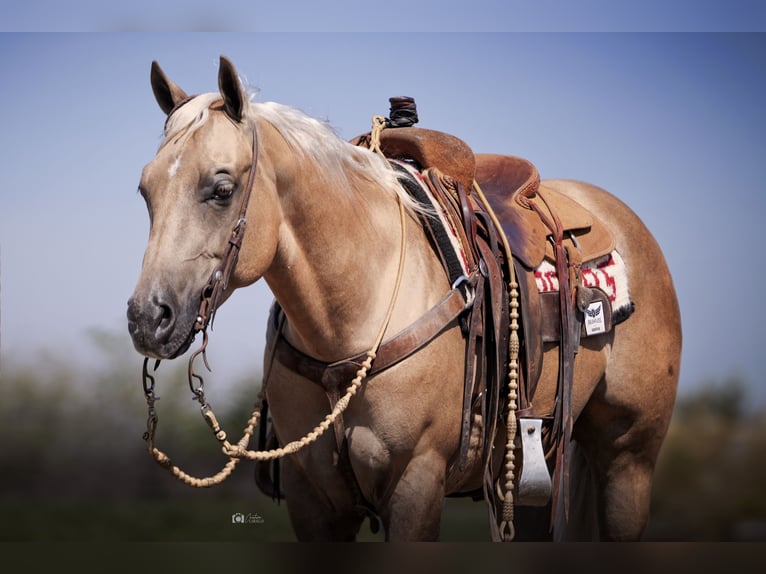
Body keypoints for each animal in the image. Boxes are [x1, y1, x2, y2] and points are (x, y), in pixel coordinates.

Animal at [127, 56, 684, 544]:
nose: (147, 319)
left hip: (628, 460)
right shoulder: (313, 501)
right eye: (145, 190)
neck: (353, 313)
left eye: (221, 189)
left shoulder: (417, 483)